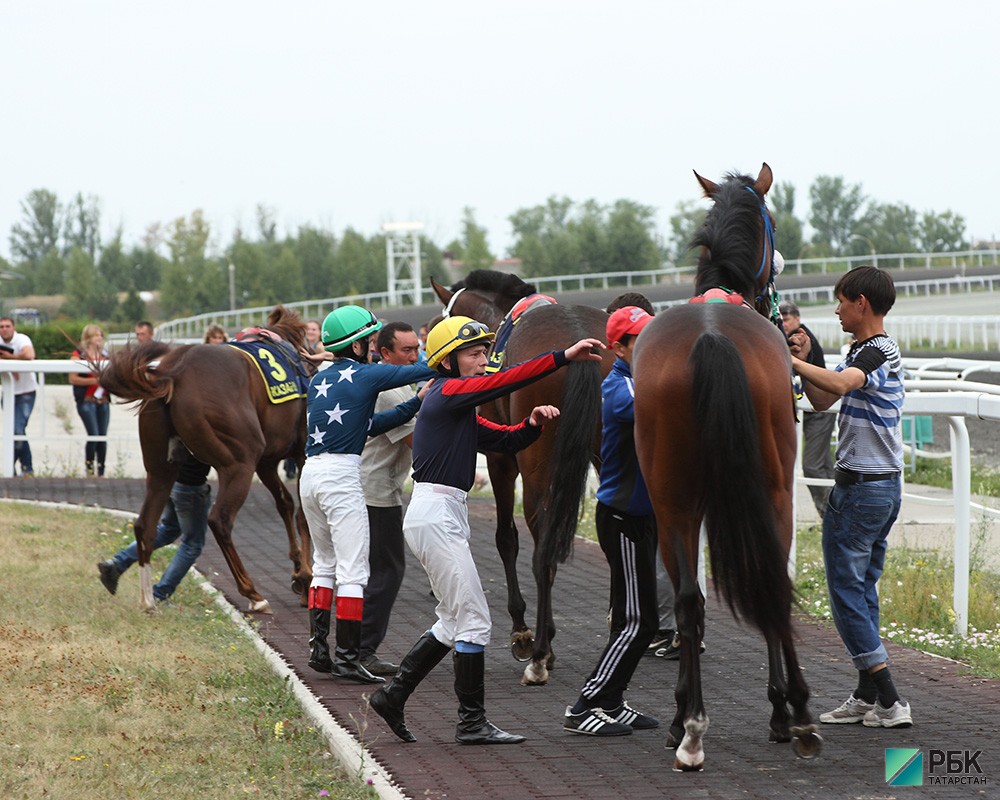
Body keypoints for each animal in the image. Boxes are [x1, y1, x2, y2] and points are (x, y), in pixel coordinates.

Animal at [100, 306, 312, 612]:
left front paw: (298, 571)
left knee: (145, 524)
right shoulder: (300, 451)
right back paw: (253, 594)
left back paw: (147, 599)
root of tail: (173, 374)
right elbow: (302, 513)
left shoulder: (267, 461)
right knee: (219, 520)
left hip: (161, 468)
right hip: (238, 463)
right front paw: (305, 577)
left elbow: (285, 503)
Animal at [426, 272, 612, 684]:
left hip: (536, 462)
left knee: (542, 545)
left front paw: (524, 633)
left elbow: (506, 539)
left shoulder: (501, 459)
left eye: (434, 323)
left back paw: (539, 655)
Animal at [632, 166, 820, 772]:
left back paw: (689, 728)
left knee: (689, 600)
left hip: (672, 499)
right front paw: (783, 710)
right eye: (774, 218)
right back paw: (793, 713)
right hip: (774, 489)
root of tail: (712, 337)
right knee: (772, 581)